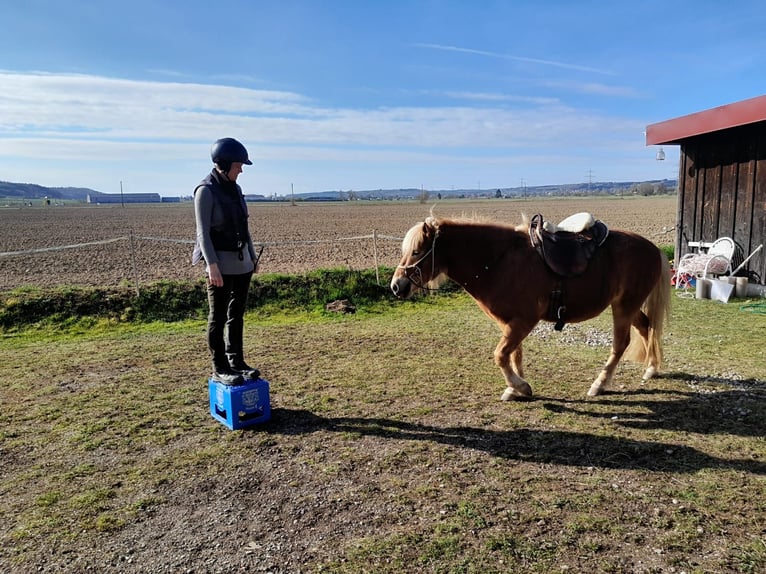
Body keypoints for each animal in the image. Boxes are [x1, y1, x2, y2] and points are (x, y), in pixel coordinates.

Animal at [390, 215, 671, 400]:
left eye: (417, 251)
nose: (396, 286)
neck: (499, 261)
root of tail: (652, 248)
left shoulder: (523, 321)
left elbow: (500, 355)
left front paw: (521, 386)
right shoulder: (511, 323)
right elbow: (514, 354)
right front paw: (514, 388)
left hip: (624, 307)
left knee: (621, 344)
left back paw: (600, 384)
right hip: (627, 306)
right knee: (646, 327)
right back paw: (651, 368)